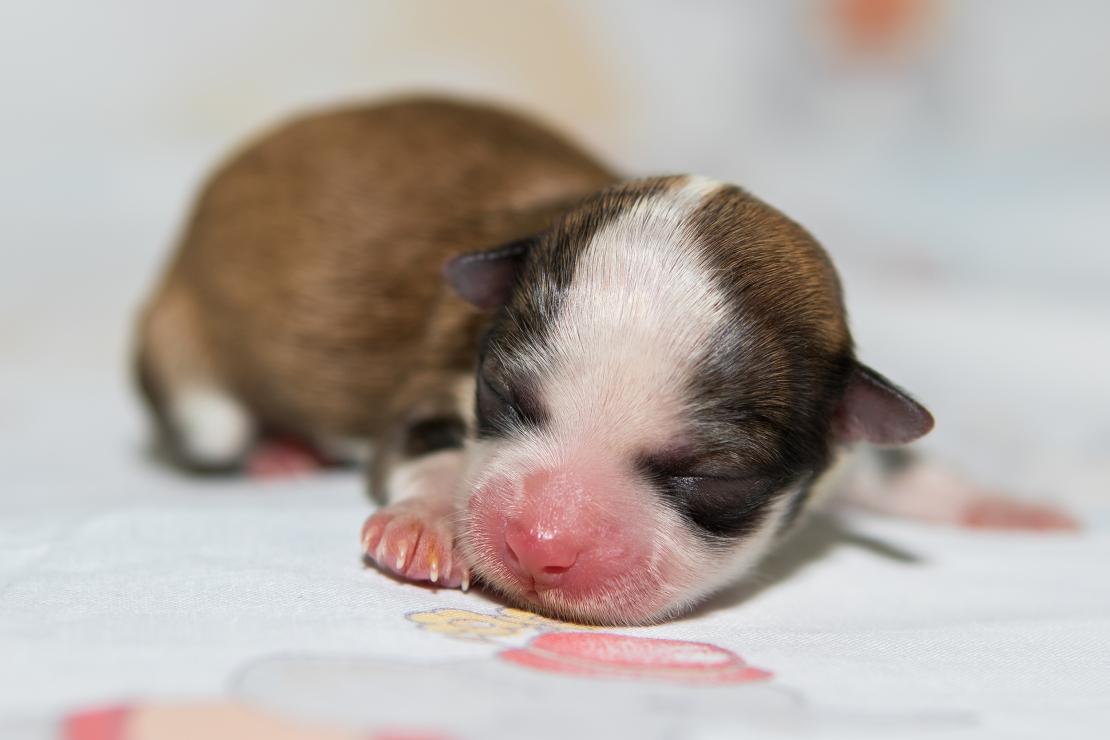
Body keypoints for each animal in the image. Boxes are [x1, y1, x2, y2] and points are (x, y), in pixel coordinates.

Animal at [134, 92, 1078, 625]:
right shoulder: (443, 370)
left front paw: (1006, 505)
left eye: (714, 481)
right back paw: (278, 451)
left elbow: (901, 468)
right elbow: (426, 444)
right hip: (192, 371)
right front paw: (424, 521)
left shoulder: (842, 418)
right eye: (505, 400)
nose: (541, 546)